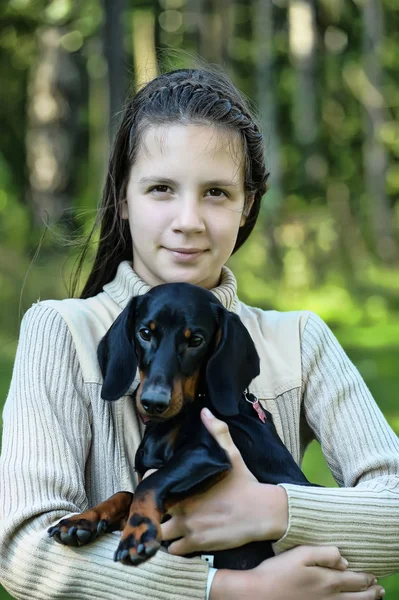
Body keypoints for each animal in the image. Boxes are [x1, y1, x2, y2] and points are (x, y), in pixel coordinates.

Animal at [47, 284, 316, 568]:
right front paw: (82, 520)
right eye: (145, 333)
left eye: (196, 340)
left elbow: (145, 487)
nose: (153, 403)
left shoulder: (206, 454)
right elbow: (124, 493)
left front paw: (138, 532)